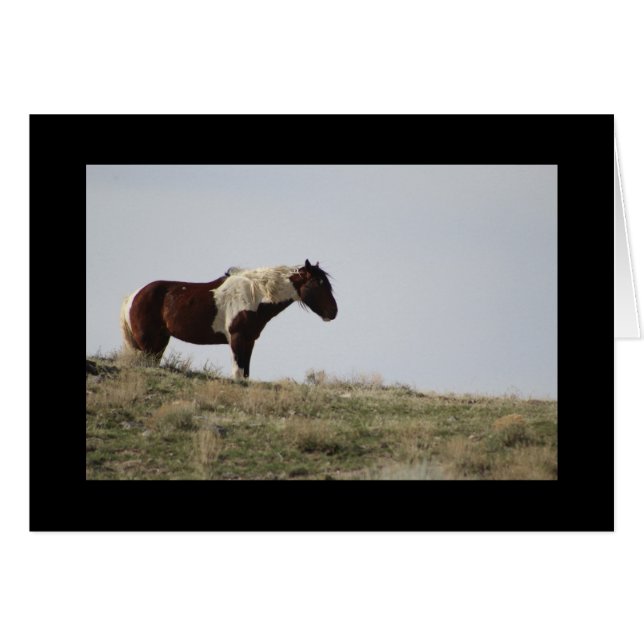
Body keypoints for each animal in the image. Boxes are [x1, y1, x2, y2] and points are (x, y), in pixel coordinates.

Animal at [119, 259, 337, 379]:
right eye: (317, 283)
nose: (333, 312)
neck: (255, 295)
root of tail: (133, 296)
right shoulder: (237, 339)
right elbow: (238, 374)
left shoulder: (249, 341)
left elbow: (245, 374)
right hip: (147, 344)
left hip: (159, 343)